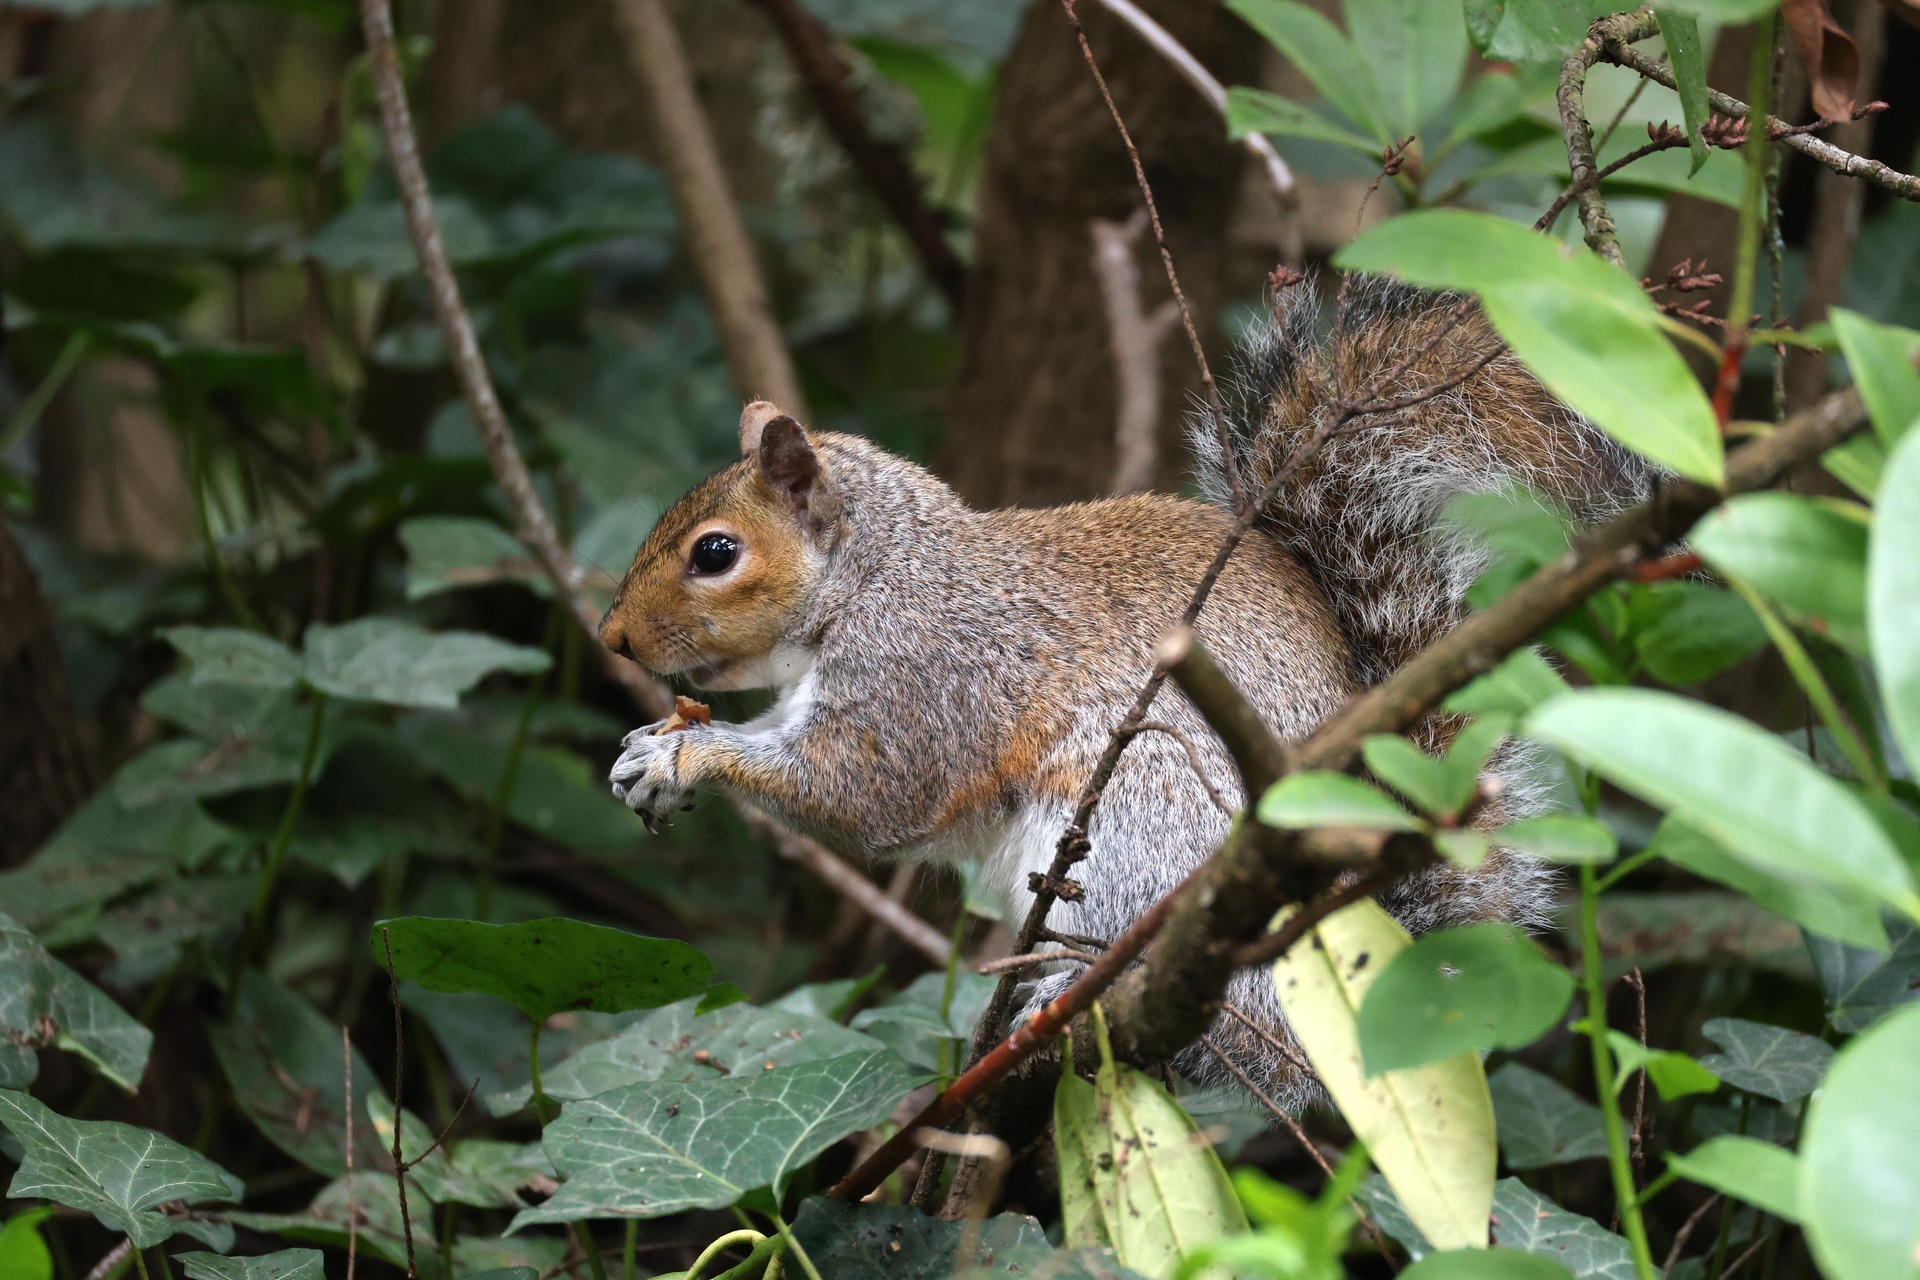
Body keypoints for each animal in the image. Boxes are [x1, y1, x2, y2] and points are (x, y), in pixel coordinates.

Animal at [599, 277, 1652, 1109]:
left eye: (716, 554)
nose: (612, 638)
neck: (880, 573)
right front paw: (655, 746)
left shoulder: (927, 669)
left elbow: (864, 792)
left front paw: (687, 754)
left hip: (1142, 819)